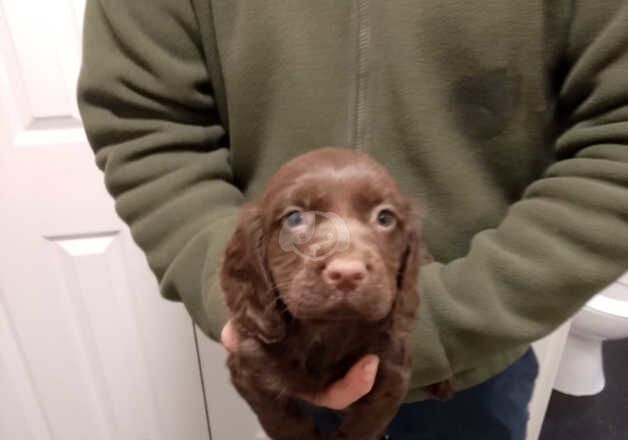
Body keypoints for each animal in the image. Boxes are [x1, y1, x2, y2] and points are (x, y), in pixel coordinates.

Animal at [221, 146, 452, 438]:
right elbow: (287, 423)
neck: (329, 329)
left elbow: (362, 426)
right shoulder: (251, 368)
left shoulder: (391, 372)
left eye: (385, 218)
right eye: (295, 217)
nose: (346, 274)